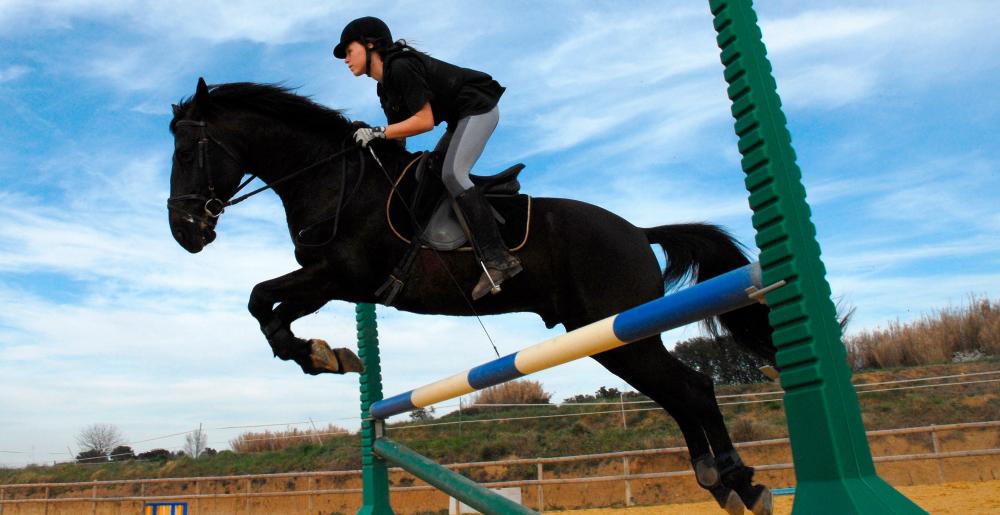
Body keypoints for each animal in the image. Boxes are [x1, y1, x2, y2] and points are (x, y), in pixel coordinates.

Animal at [170, 78, 780, 512]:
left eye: (190, 151)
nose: (185, 233)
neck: (332, 179)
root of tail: (637, 232)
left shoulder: (342, 275)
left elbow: (259, 298)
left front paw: (319, 354)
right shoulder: (331, 280)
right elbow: (269, 310)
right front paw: (325, 355)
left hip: (621, 331)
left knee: (694, 389)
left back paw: (740, 481)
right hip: (613, 337)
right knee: (678, 394)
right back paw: (719, 480)